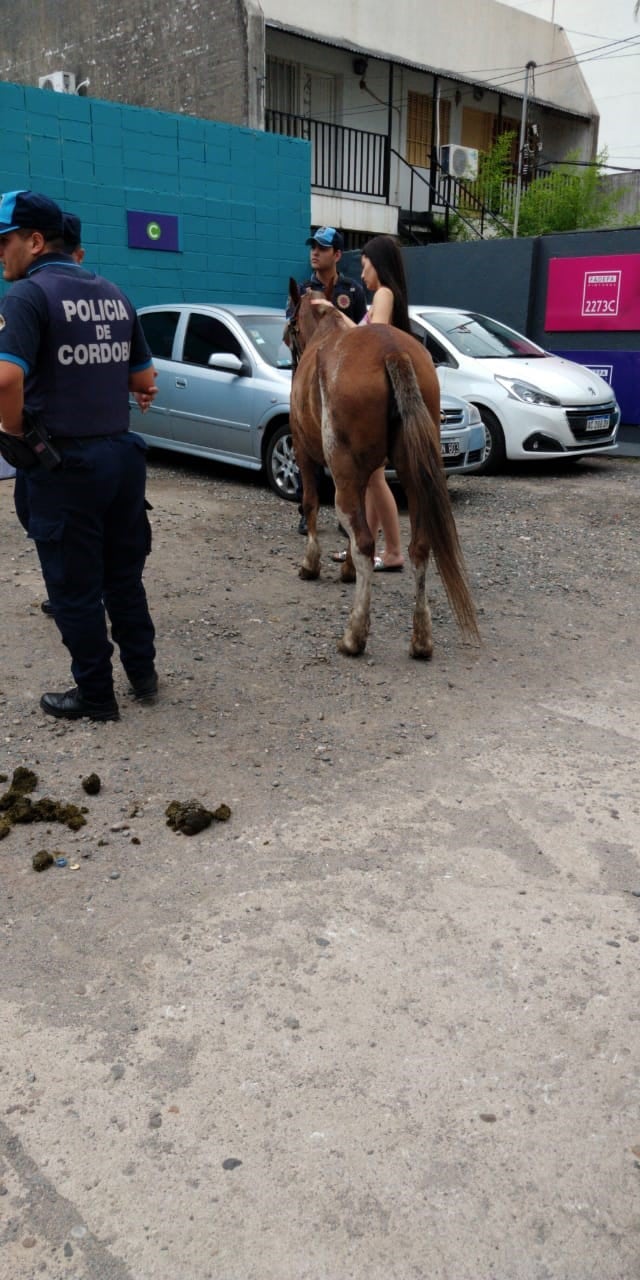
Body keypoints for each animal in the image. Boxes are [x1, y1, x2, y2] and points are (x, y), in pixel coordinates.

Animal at [288, 280, 478, 660]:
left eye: (292, 324)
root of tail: (393, 351)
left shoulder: (305, 452)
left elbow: (312, 505)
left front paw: (311, 565)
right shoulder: (369, 472)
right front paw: (345, 568)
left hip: (345, 475)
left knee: (363, 539)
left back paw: (354, 635)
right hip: (412, 475)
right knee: (420, 546)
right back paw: (421, 639)